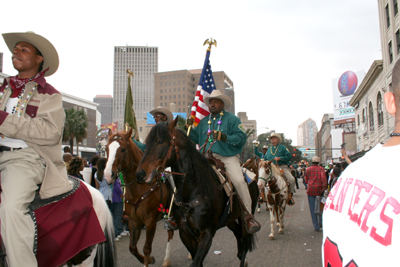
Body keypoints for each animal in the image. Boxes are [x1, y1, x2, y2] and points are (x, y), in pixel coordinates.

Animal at [101, 129, 173, 266]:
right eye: (106, 148)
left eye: (123, 149)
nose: (108, 174)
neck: (139, 188)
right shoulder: (134, 221)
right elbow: (133, 248)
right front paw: (149, 259)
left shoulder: (150, 221)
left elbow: (146, 248)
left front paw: (147, 259)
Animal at [136, 119, 258, 267]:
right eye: (147, 143)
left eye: (160, 141)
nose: (140, 174)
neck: (193, 191)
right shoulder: (186, 234)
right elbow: (196, 261)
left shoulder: (207, 234)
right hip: (230, 220)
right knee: (238, 235)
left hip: (245, 217)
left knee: (245, 241)